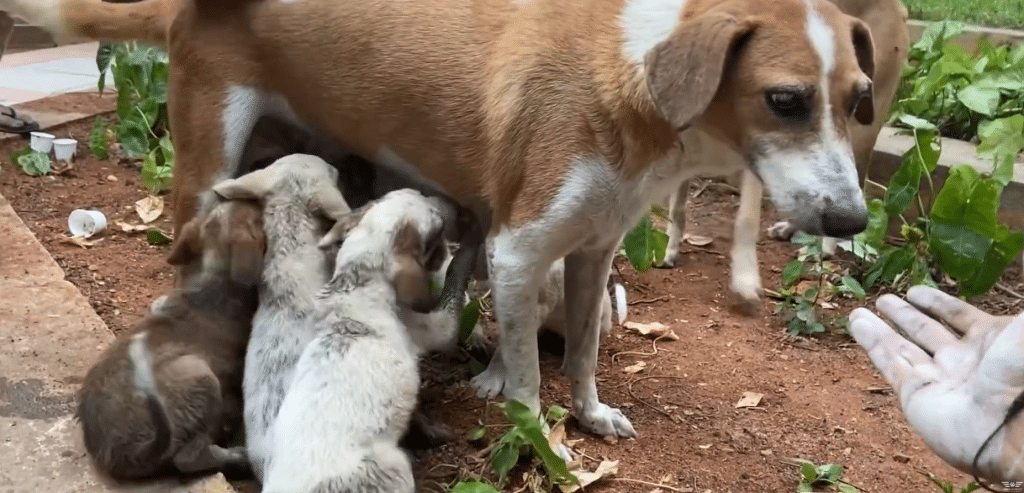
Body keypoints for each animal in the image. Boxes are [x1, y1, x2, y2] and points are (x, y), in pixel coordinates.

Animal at [8, 0, 876, 438]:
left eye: (860, 98)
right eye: (785, 100)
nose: (853, 218)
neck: (629, 74)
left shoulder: (592, 252)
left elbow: (582, 352)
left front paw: (589, 414)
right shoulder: (521, 249)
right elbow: (528, 374)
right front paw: (538, 437)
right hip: (207, 159)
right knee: (183, 259)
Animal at [658, 0, 909, 307]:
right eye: (786, 100)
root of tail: (899, 8)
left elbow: (747, 218)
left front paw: (745, 279)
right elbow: (677, 206)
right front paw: (670, 247)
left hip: (859, 132)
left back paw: (825, 246)